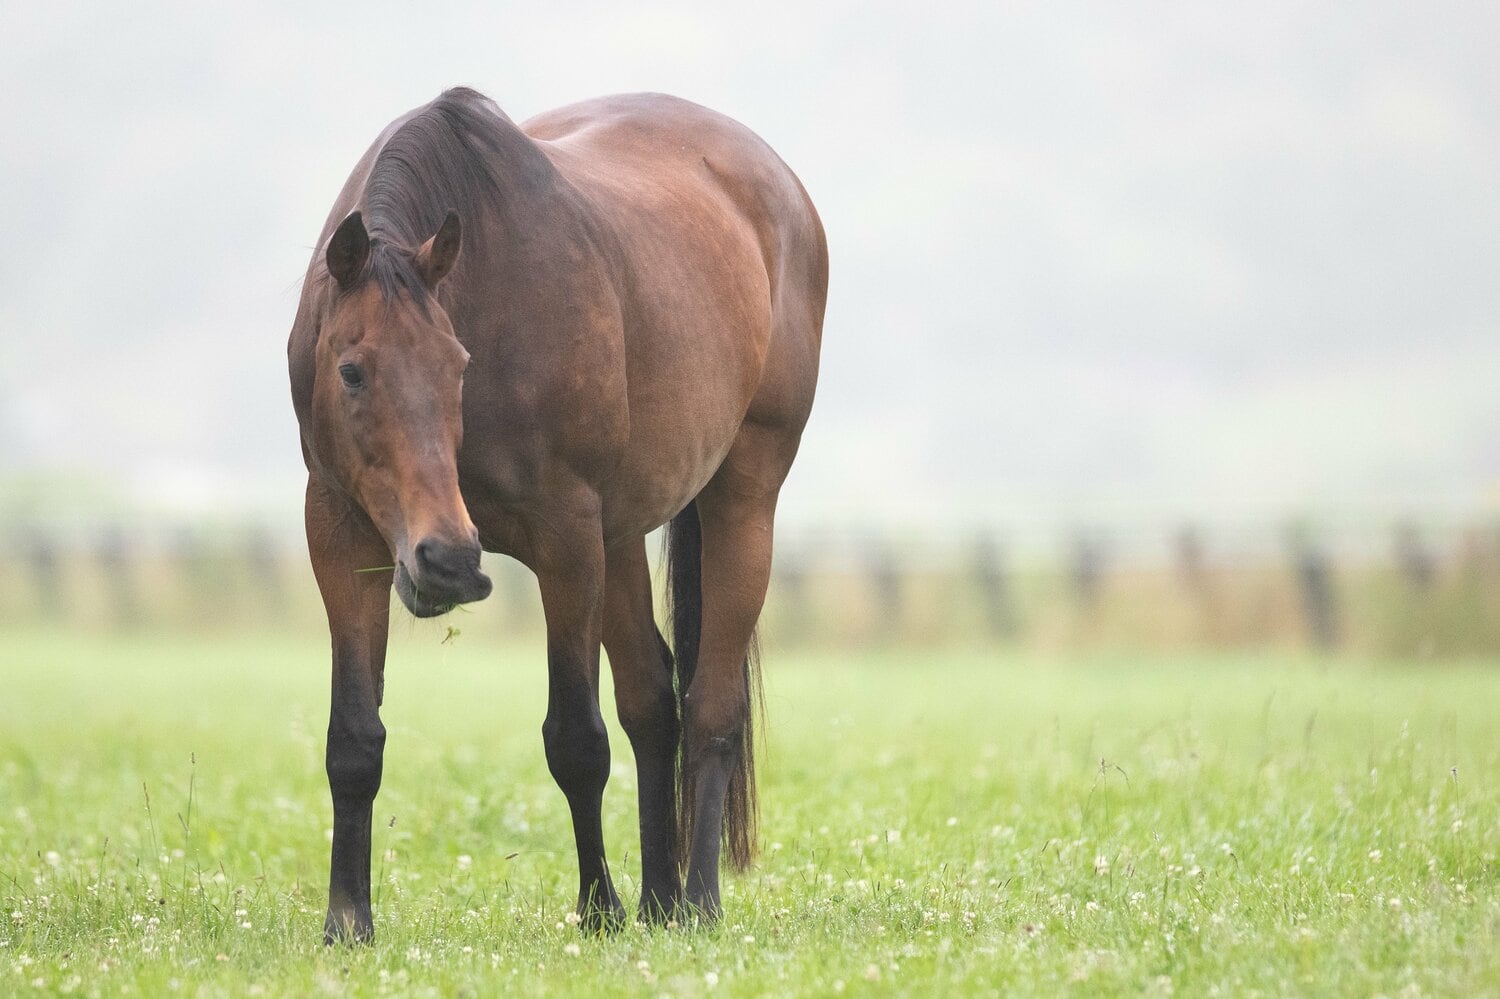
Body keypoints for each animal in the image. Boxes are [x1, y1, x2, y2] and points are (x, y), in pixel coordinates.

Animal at [286, 87, 827, 943]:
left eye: (458, 366)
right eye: (350, 370)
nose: (446, 560)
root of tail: (780, 186)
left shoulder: (566, 537)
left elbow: (576, 739)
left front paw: (598, 906)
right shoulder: (340, 534)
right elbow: (354, 739)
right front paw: (347, 919)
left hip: (743, 498)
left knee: (710, 705)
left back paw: (697, 901)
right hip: (623, 535)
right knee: (653, 701)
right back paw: (660, 899)